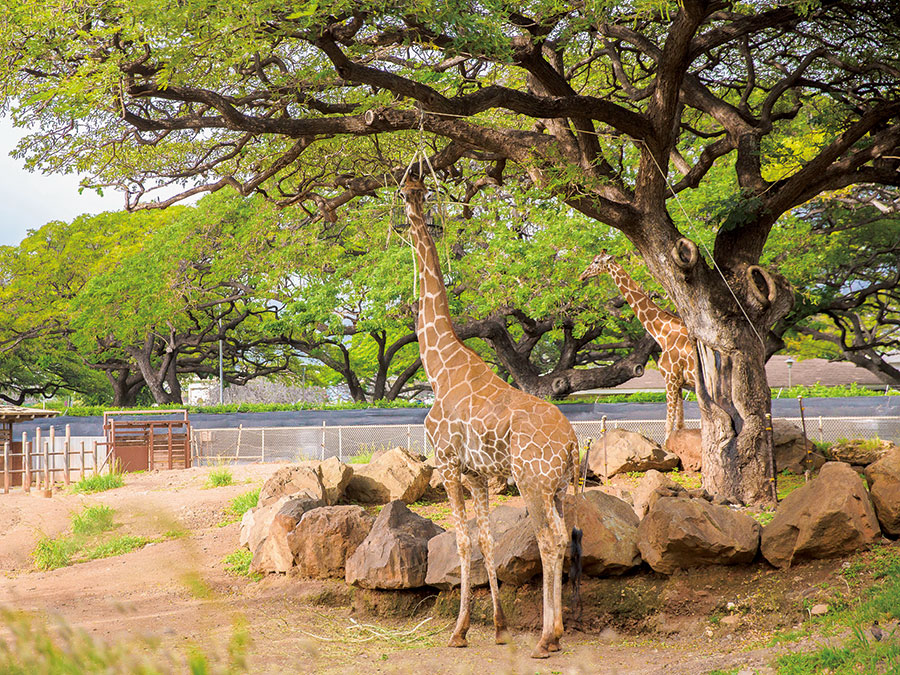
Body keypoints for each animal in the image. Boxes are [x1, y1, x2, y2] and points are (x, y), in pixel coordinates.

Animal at [400, 173, 576, 660]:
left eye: (410, 190)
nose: (409, 195)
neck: (439, 367)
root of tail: (573, 442)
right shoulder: (477, 473)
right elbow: (486, 539)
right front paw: (497, 627)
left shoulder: (446, 462)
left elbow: (462, 540)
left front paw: (458, 631)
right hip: (560, 487)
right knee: (563, 535)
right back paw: (555, 634)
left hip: (533, 481)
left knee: (549, 539)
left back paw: (546, 638)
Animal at [580, 251, 700, 440]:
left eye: (596, 262)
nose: (582, 275)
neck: (663, 333)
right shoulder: (680, 382)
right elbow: (680, 425)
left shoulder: (670, 378)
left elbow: (668, 426)